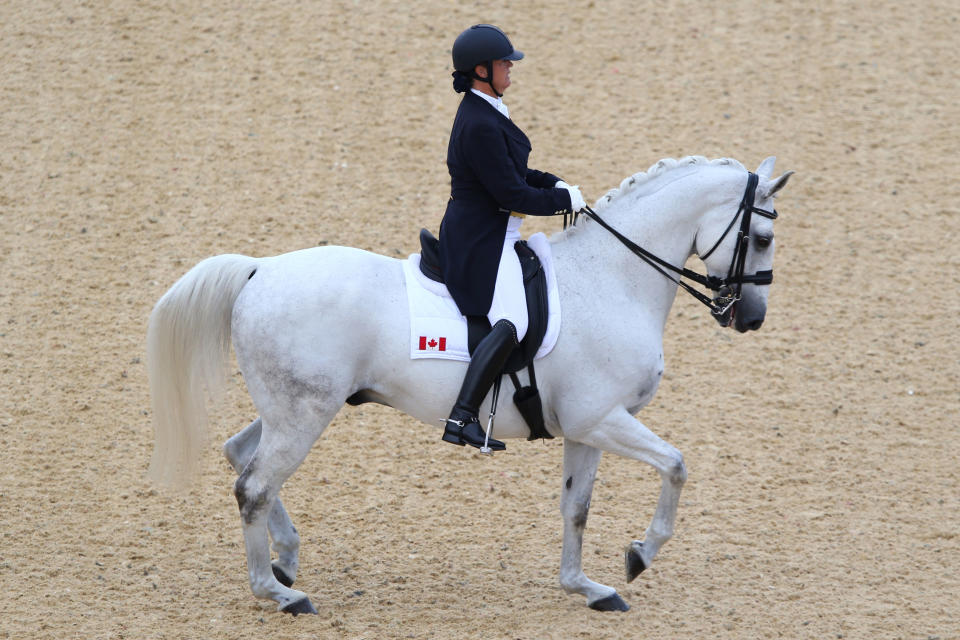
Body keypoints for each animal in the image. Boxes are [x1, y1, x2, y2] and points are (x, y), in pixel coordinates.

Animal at [148, 155, 796, 616]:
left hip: (295, 408)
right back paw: (279, 593)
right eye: (762, 240)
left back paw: (285, 560)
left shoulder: (586, 428)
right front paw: (640, 555)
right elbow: (677, 465)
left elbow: (577, 507)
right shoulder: (602, 419)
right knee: (254, 486)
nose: (751, 318)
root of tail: (259, 269)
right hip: (304, 414)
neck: (611, 278)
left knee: (240, 455)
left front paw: (585, 587)